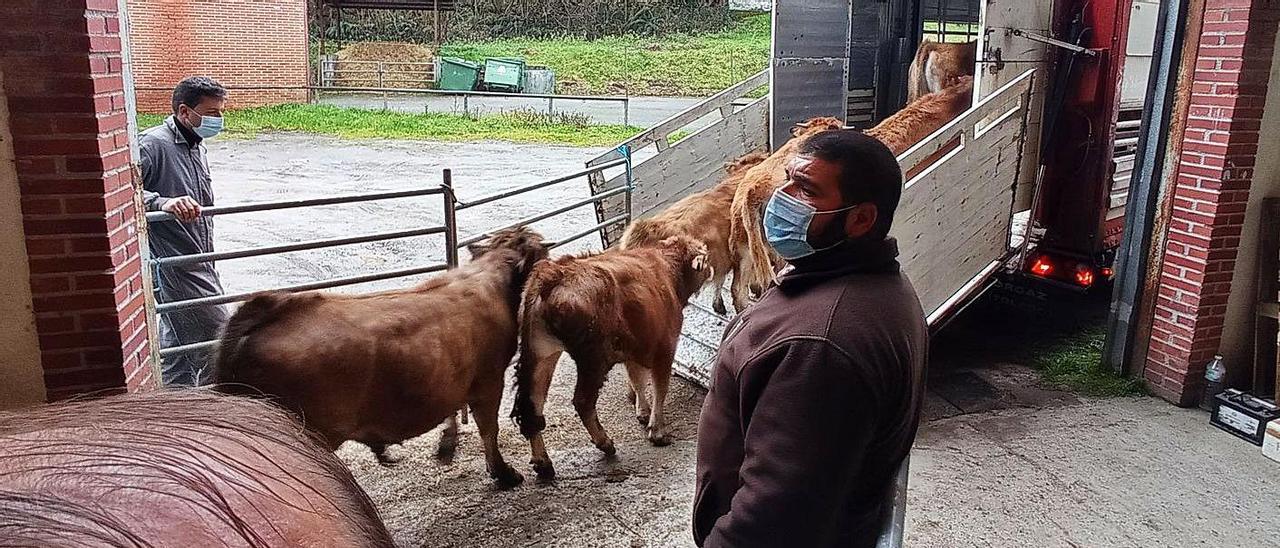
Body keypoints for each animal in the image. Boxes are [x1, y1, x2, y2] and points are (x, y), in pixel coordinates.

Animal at [213, 226, 550, 489]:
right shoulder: (488, 380)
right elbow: (488, 428)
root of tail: (272, 310)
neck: (488, 277)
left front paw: (447, 445)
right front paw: (504, 474)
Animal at [509, 235, 711, 478]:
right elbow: (659, 388)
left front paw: (642, 412)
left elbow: (637, 379)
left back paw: (543, 463)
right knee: (583, 401)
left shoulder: (636, 348)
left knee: (533, 405)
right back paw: (605, 443)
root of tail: (553, 274)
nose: (711, 269)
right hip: (593, 359)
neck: (667, 268)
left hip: (541, 354)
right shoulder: (665, 348)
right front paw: (657, 431)